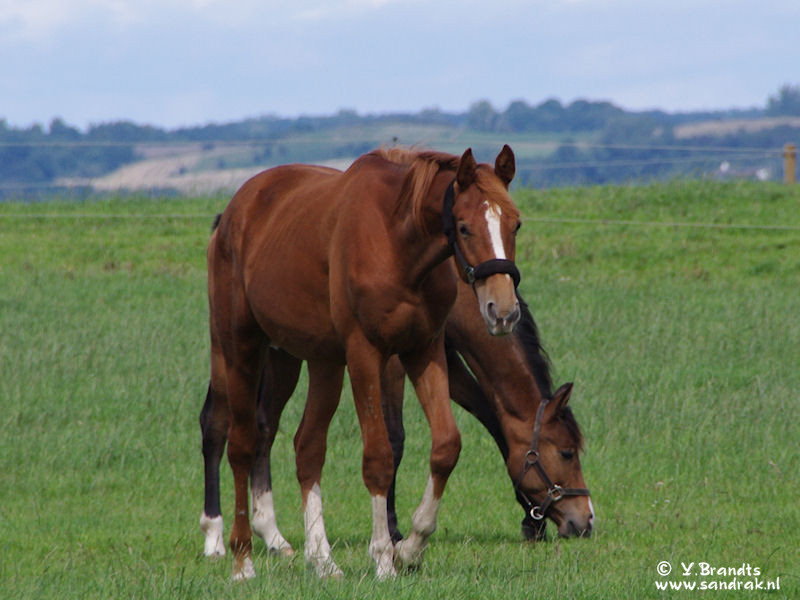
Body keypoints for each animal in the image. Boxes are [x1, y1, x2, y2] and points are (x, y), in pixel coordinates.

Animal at [202, 146, 522, 580]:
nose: (502, 312)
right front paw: (384, 557)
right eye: (464, 226)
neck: (397, 242)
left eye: (515, 224)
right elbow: (379, 457)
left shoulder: (424, 349)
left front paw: (411, 548)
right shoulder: (365, 355)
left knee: (307, 448)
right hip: (240, 349)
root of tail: (231, 215)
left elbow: (446, 446)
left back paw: (322, 560)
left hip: (320, 361)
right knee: (240, 444)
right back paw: (241, 559)